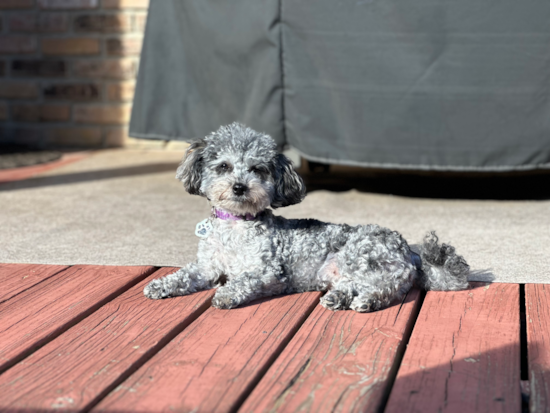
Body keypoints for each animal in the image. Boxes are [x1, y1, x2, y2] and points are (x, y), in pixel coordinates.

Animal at [143, 124, 470, 310]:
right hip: (343, 270)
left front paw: (227, 294)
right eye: (223, 166)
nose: (239, 187)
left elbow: (243, 280)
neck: (235, 227)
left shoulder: (269, 272)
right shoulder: (207, 267)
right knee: (353, 285)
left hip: (362, 255)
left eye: (258, 169)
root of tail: (408, 250)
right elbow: (185, 275)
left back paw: (366, 301)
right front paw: (161, 285)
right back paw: (338, 299)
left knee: (383, 288)